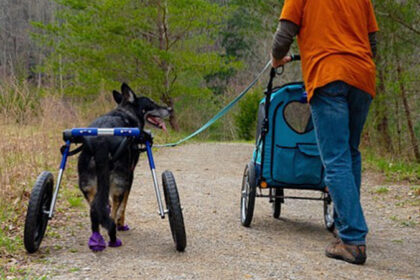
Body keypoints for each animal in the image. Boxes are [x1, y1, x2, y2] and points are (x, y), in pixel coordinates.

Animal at [77, 83, 171, 252]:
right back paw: (113, 236)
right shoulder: (129, 176)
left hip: (87, 186)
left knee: (95, 210)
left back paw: (96, 238)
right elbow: (124, 205)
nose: (170, 109)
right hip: (119, 181)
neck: (126, 112)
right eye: (152, 103)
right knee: (113, 214)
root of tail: (101, 142)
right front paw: (122, 224)